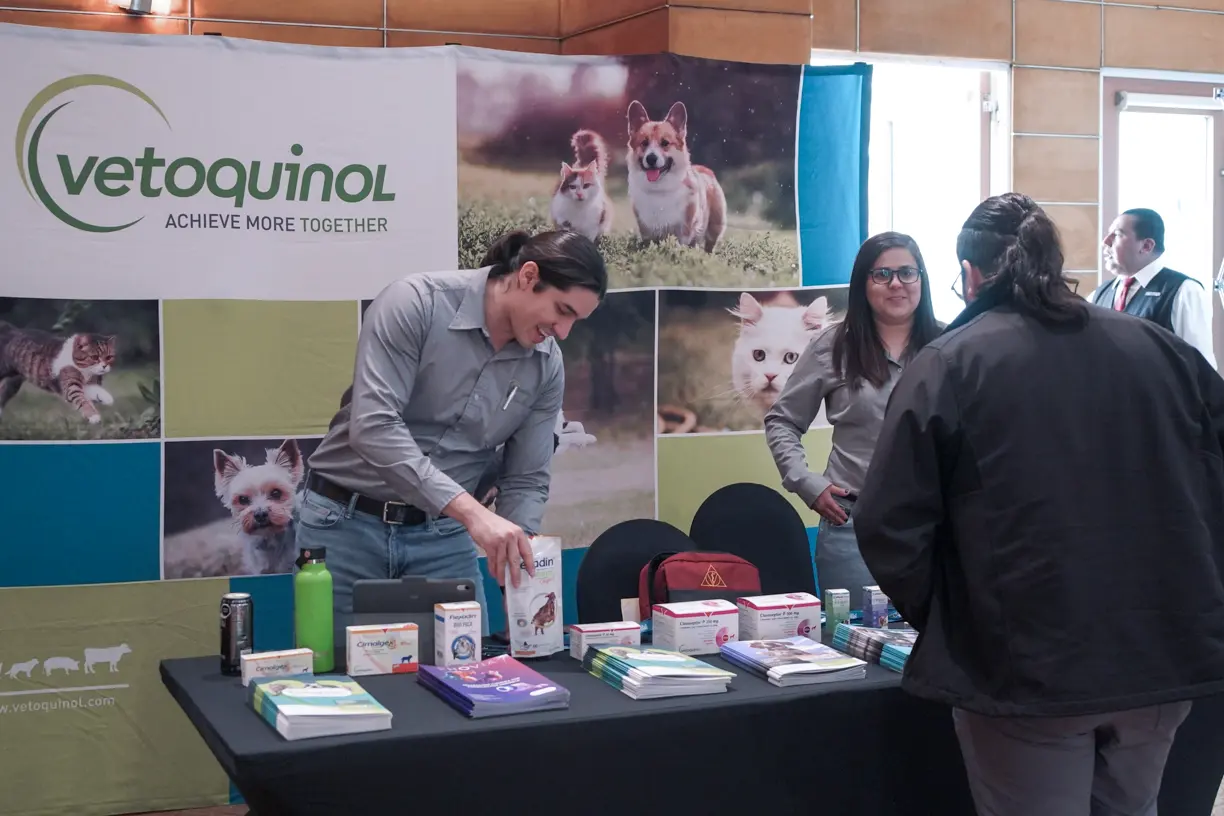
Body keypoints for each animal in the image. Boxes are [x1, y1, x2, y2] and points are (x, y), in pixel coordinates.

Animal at [625, 100, 727, 253]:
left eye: (665, 143)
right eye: (644, 143)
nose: (651, 158)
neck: (659, 189)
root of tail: (705, 169)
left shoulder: (683, 230)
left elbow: (680, 244)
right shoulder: (647, 230)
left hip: (715, 226)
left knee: (709, 244)